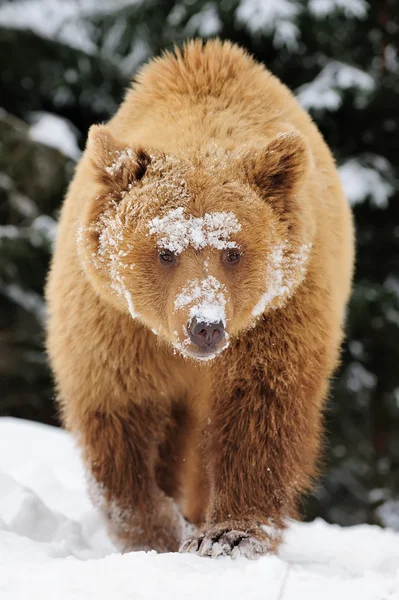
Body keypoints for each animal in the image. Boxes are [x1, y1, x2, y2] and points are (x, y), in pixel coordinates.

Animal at [45, 39, 354, 560]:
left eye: (233, 251)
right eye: (165, 251)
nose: (204, 325)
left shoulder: (280, 315)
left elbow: (259, 414)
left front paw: (228, 534)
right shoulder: (112, 325)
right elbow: (119, 423)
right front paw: (155, 531)